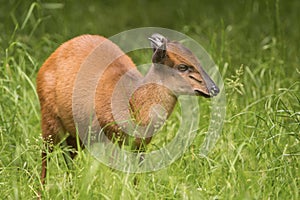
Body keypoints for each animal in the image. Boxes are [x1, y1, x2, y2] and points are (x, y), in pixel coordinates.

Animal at [37, 32, 220, 184]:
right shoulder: (108, 136)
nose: (215, 88)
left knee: (68, 153)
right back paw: (42, 190)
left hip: (77, 132)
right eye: (182, 66)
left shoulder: (142, 144)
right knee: (46, 152)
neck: (133, 105)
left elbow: (138, 173)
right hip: (49, 116)